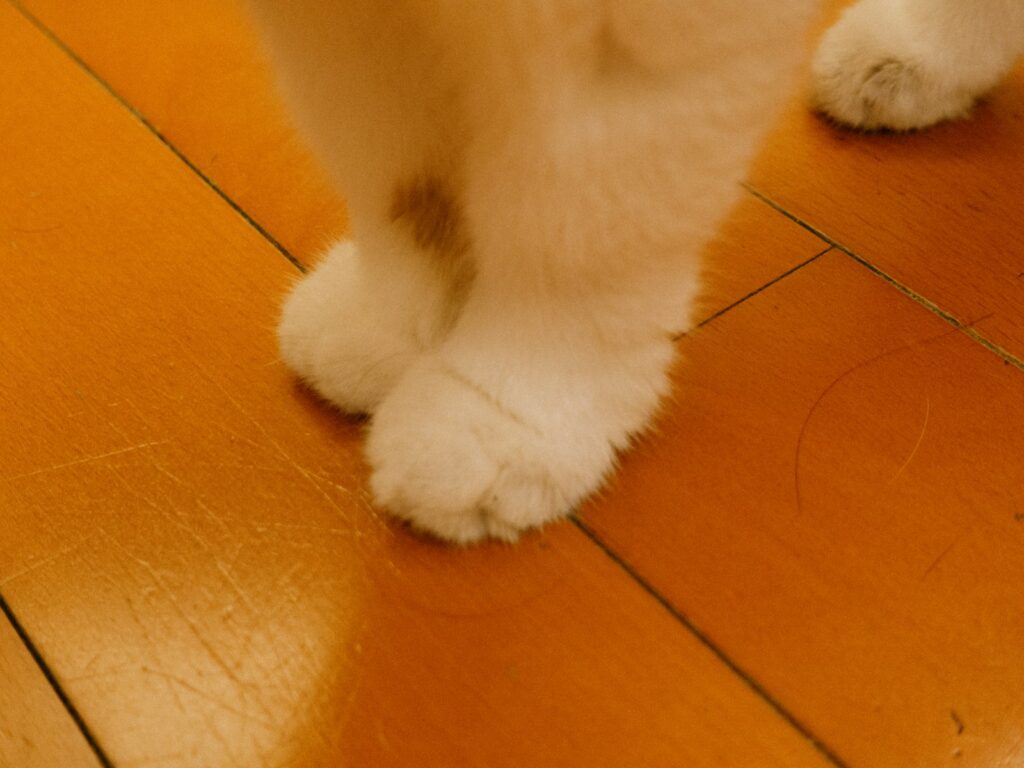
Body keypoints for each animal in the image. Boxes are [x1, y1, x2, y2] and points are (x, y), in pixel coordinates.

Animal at [247, 1, 815, 540]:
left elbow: (566, 236)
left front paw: (494, 424)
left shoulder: (620, 44)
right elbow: (396, 180)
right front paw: (391, 326)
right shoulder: (353, 30)